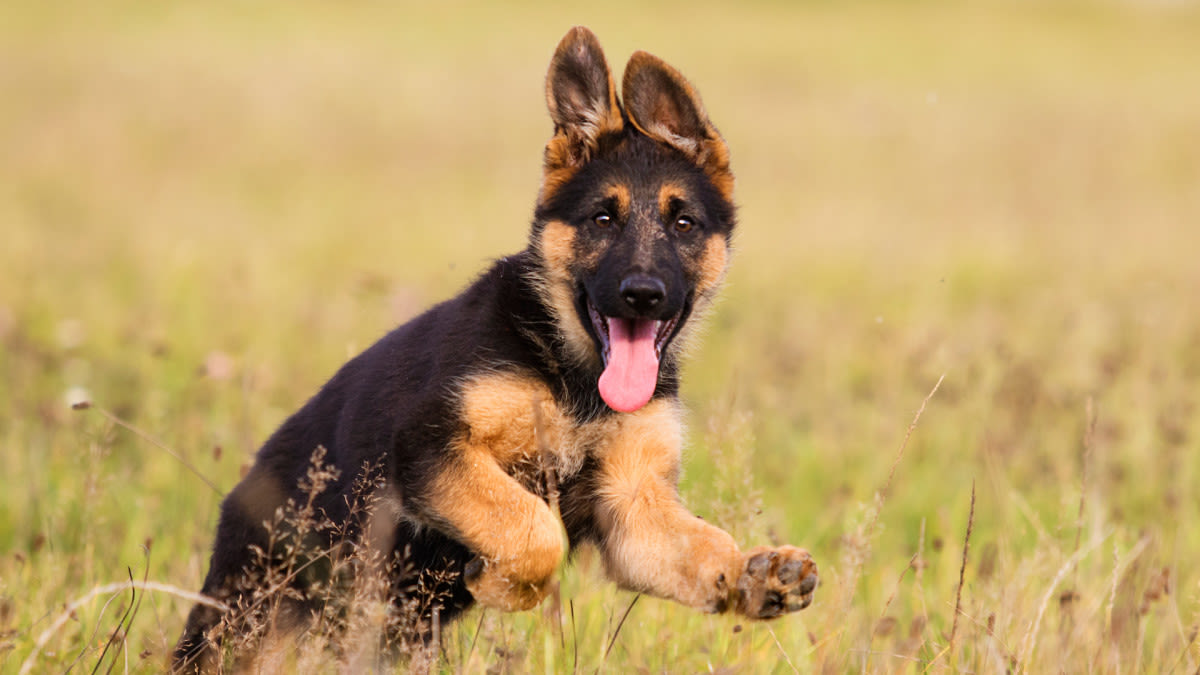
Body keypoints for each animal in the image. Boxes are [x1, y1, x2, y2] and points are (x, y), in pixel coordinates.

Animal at [174, 24, 820, 667]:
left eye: (684, 224)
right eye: (602, 219)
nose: (642, 294)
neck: (574, 377)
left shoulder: (634, 511)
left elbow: (702, 545)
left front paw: (755, 573)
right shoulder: (429, 447)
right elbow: (534, 530)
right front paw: (502, 585)